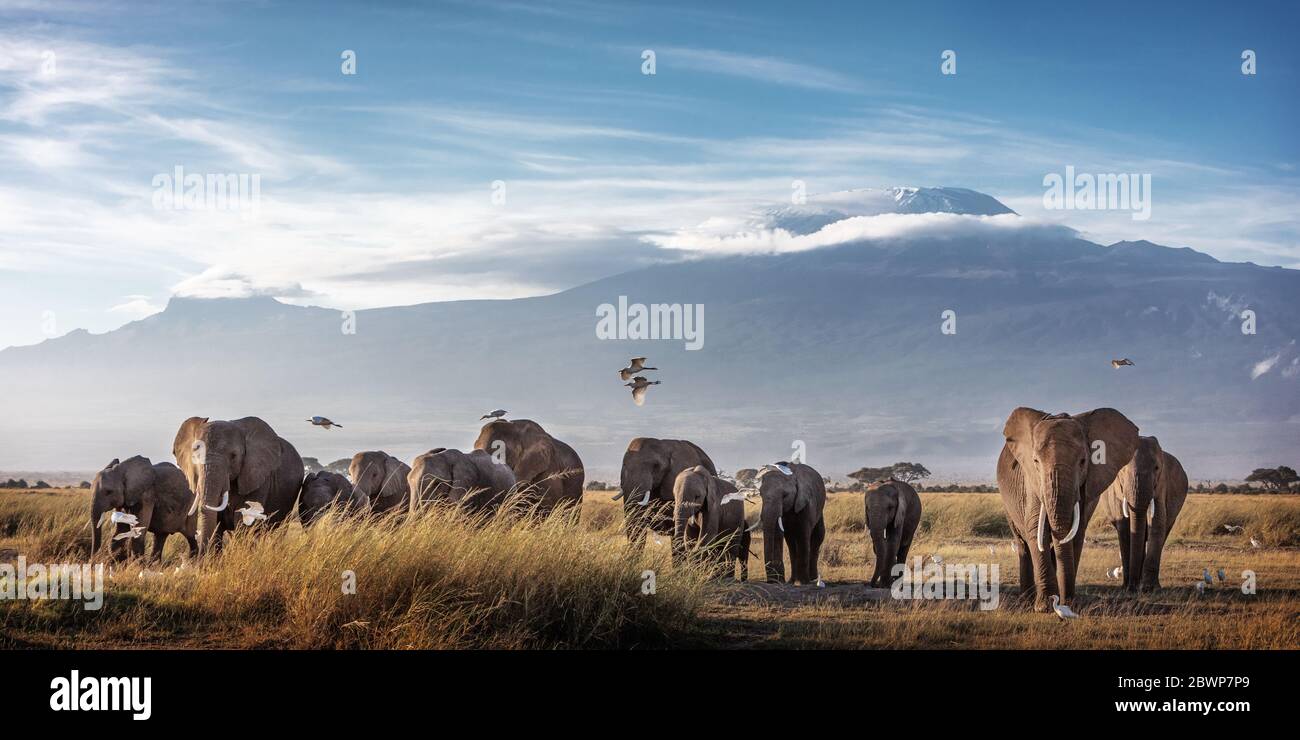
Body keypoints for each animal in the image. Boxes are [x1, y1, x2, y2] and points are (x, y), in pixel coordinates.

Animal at [171, 416, 302, 554]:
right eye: (195, 456)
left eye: (233, 456)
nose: (199, 556)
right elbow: (217, 525)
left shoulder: (257, 477)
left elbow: (243, 521)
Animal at [993, 405, 1138, 608]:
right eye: (1036, 462)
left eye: (1083, 461)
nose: (1065, 600)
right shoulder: (1031, 481)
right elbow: (1035, 529)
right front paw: (1044, 606)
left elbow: (1076, 532)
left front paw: (1067, 603)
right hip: (1007, 503)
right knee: (1023, 544)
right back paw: (1026, 599)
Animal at [1102, 436, 1185, 590]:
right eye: (1122, 470)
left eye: (1157, 468)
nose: (1132, 588)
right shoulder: (1116, 492)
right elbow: (1124, 527)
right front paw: (1127, 587)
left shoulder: (1161, 485)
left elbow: (1157, 523)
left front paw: (1149, 588)